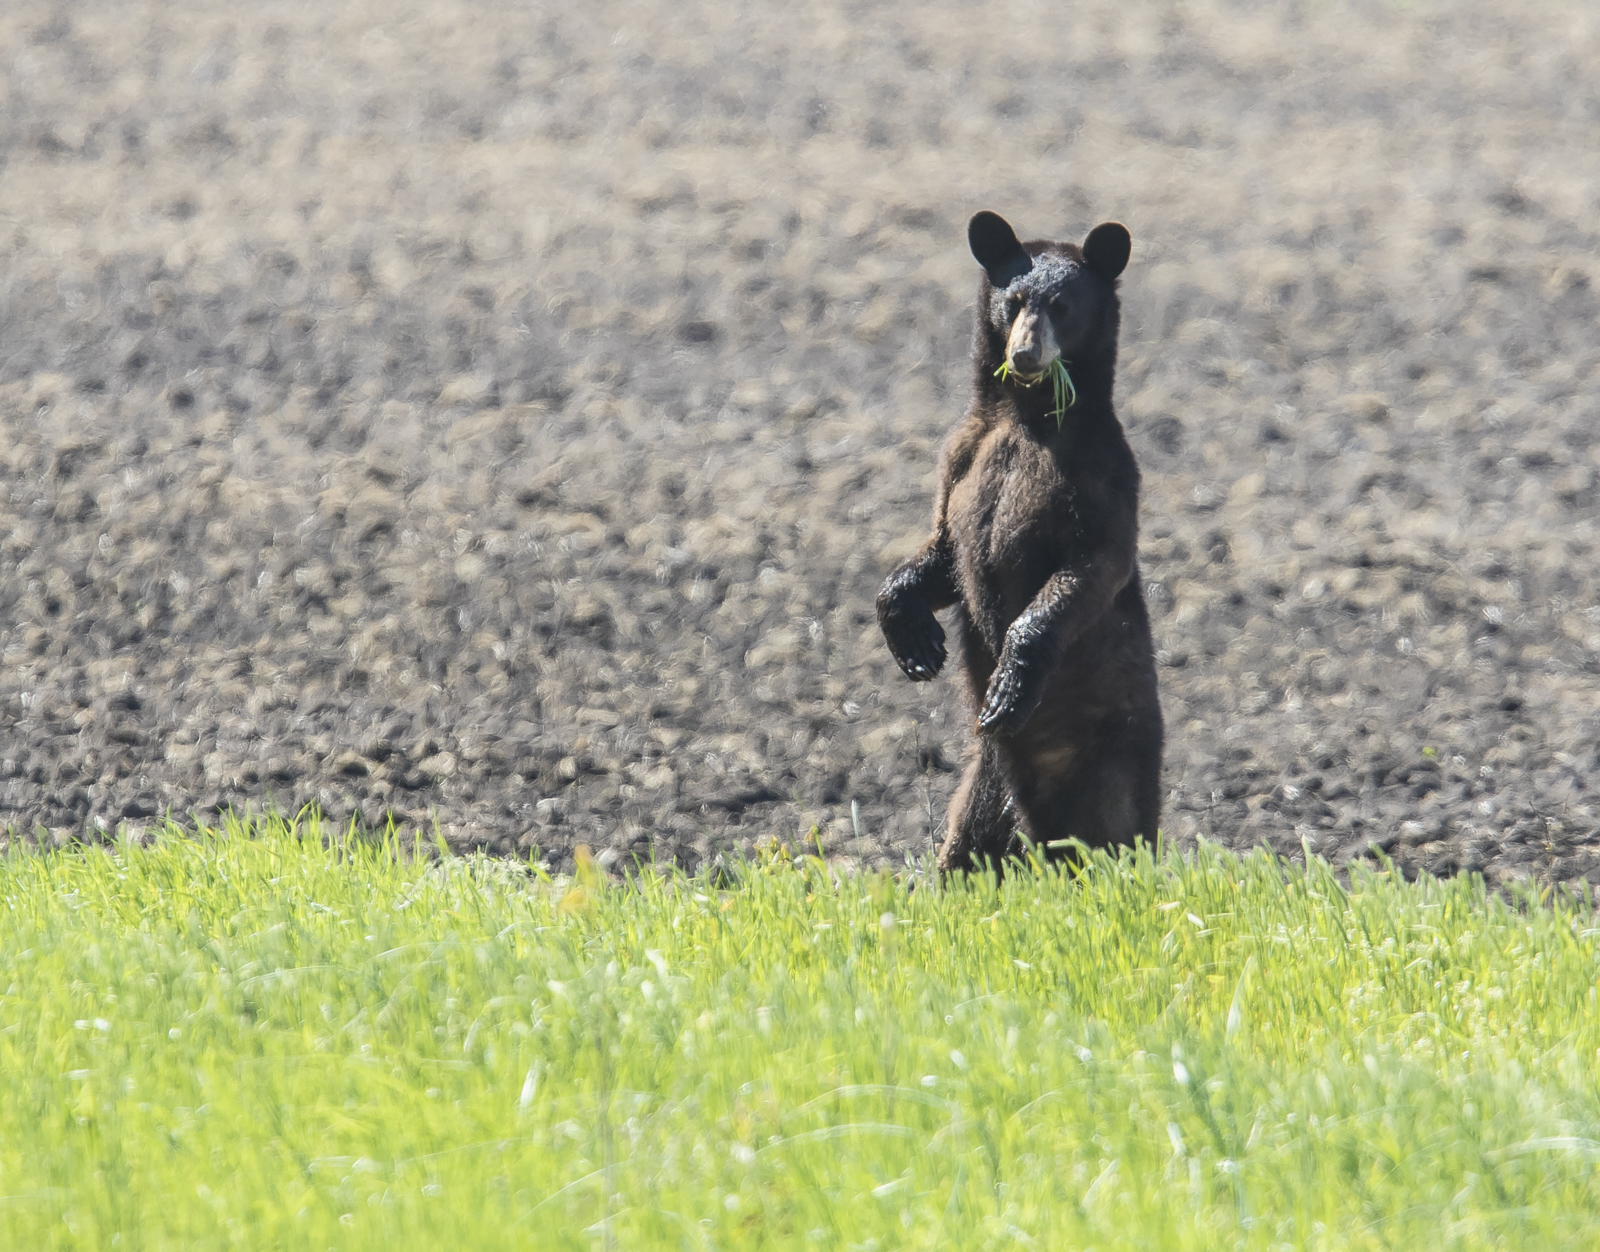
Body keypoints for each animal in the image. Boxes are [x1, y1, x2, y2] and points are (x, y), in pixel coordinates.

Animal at [876, 210, 1163, 872]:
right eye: (1014, 301)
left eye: (1062, 305)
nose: (1026, 353)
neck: (1024, 415)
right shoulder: (961, 455)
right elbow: (944, 551)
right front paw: (916, 640)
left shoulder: (1100, 469)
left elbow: (1094, 561)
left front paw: (1011, 680)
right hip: (986, 782)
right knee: (970, 845)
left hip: (1109, 758)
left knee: (1113, 836)